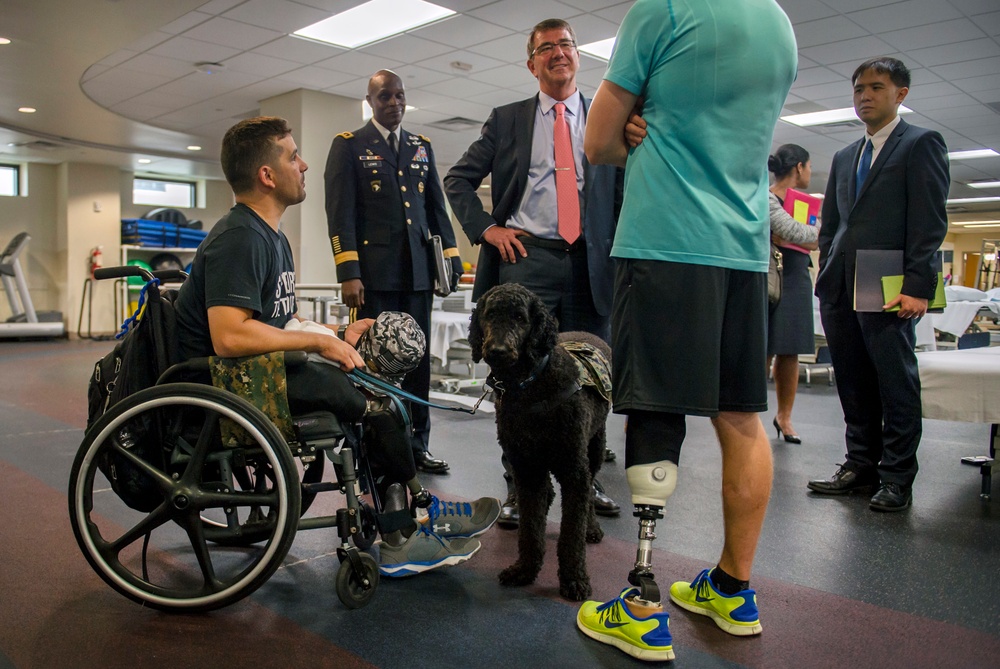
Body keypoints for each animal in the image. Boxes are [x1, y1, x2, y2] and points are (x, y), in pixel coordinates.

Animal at [468, 282, 608, 600]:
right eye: (489, 314)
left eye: (520, 318)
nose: (497, 350)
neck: (530, 385)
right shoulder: (527, 467)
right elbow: (531, 528)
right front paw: (524, 570)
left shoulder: (574, 471)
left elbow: (571, 534)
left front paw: (574, 579)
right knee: (546, 495)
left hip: (594, 446)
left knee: (591, 490)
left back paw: (592, 527)